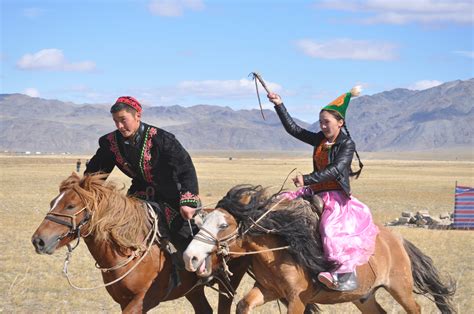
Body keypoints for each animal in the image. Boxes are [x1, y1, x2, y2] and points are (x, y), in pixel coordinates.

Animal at [31, 173, 248, 312]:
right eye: (52, 202)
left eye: (70, 205)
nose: (38, 241)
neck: (129, 249)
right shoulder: (123, 300)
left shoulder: (144, 299)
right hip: (193, 290)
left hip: (229, 281)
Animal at [183, 185, 458, 314]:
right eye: (200, 222)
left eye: (223, 225)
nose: (190, 256)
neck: (280, 251)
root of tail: (398, 240)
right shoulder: (267, 290)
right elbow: (243, 305)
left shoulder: (297, 299)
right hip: (364, 296)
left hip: (400, 288)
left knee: (416, 308)